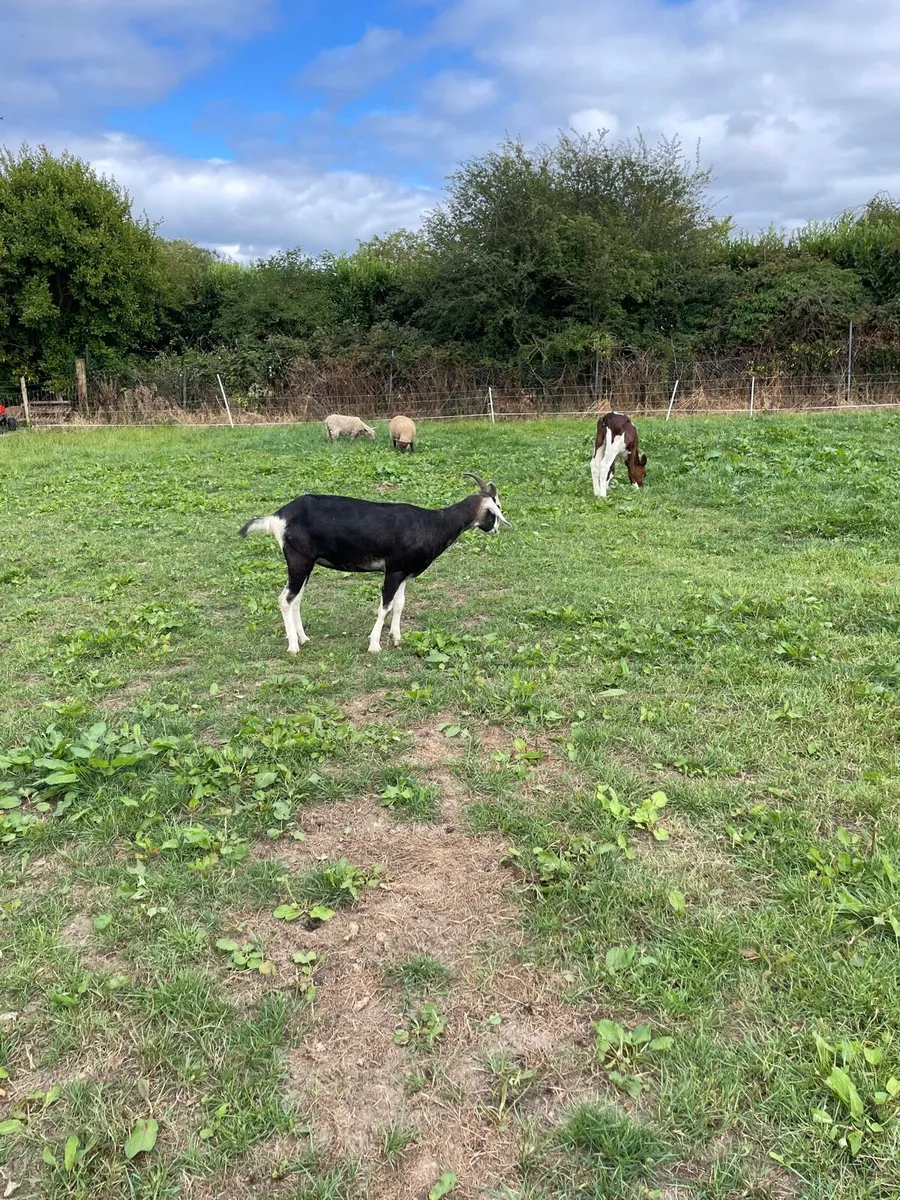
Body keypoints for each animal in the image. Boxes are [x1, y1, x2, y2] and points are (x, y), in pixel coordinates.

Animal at [239, 473, 510, 655]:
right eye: (495, 508)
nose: (497, 529)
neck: (433, 523)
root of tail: (278, 517)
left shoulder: (403, 572)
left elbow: (400, 604)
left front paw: (397, 638)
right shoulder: (393, 571)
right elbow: (385, 607)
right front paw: (374, 645)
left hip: (306, 564)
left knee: (296, 598)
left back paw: (303, 638)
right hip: (299, 560)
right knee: (285, 599)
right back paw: (294, 646)